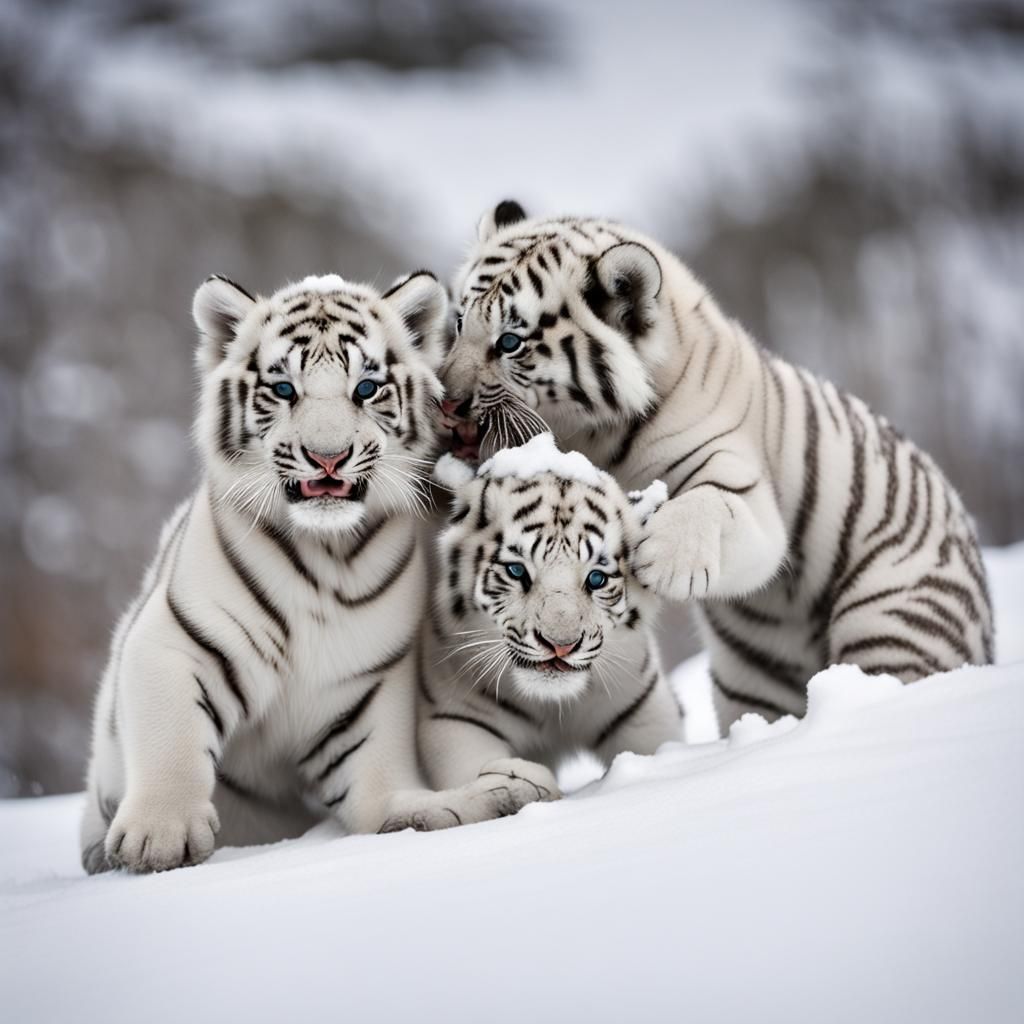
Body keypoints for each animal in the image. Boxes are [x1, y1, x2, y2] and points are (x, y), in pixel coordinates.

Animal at [81, 269, 525, 874]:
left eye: (366, 388)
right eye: (285, 389)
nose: (328, 457)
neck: (324, 556)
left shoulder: (367, 685)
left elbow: (378, 780)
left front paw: (443, 807)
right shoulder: (175, 639)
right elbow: (170, 735)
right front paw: (158, 835)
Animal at [420, 431, 682, 809]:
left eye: (596, 579)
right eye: (517, 571)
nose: (561, 646)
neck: (551, 707)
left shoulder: (643, 715)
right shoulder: (456, 721)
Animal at [438, 200, 994, 733]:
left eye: (510, 342)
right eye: (460, 323)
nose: (447, 402)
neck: (599, 433)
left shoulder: (745, 488)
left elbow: (708, 501)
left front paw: (664, 562)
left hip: (892, 622)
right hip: (751, 679)